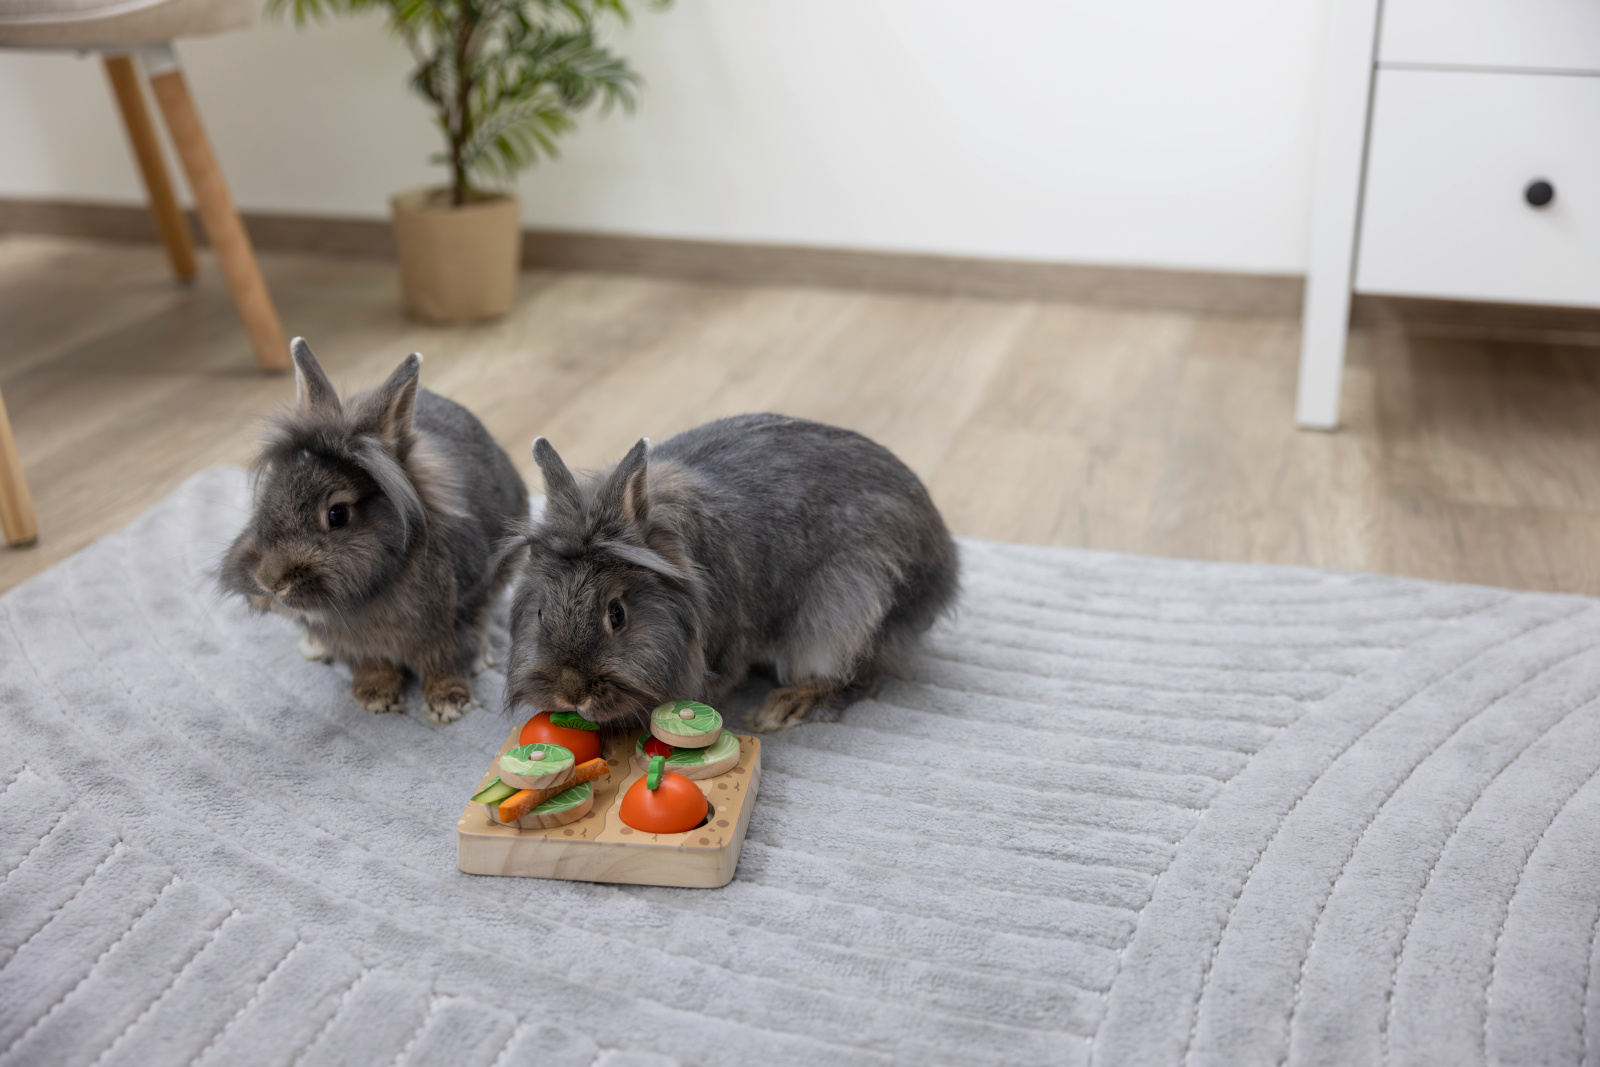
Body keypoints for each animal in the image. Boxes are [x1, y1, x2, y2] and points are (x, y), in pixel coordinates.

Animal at [221, 338, 528, 724]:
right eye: (266, 496)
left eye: (337, 514)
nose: (269, 583)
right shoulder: (357, 646)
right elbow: (372, 665)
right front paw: (374, 696)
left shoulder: (455, 617)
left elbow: (442, 661)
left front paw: (449, 703)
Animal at [500, 413, 959, 732]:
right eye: (540, 613)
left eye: (617, 614)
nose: (571, 692)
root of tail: (942, 560)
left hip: (845, 611)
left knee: (860, 675)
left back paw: (783, 707)